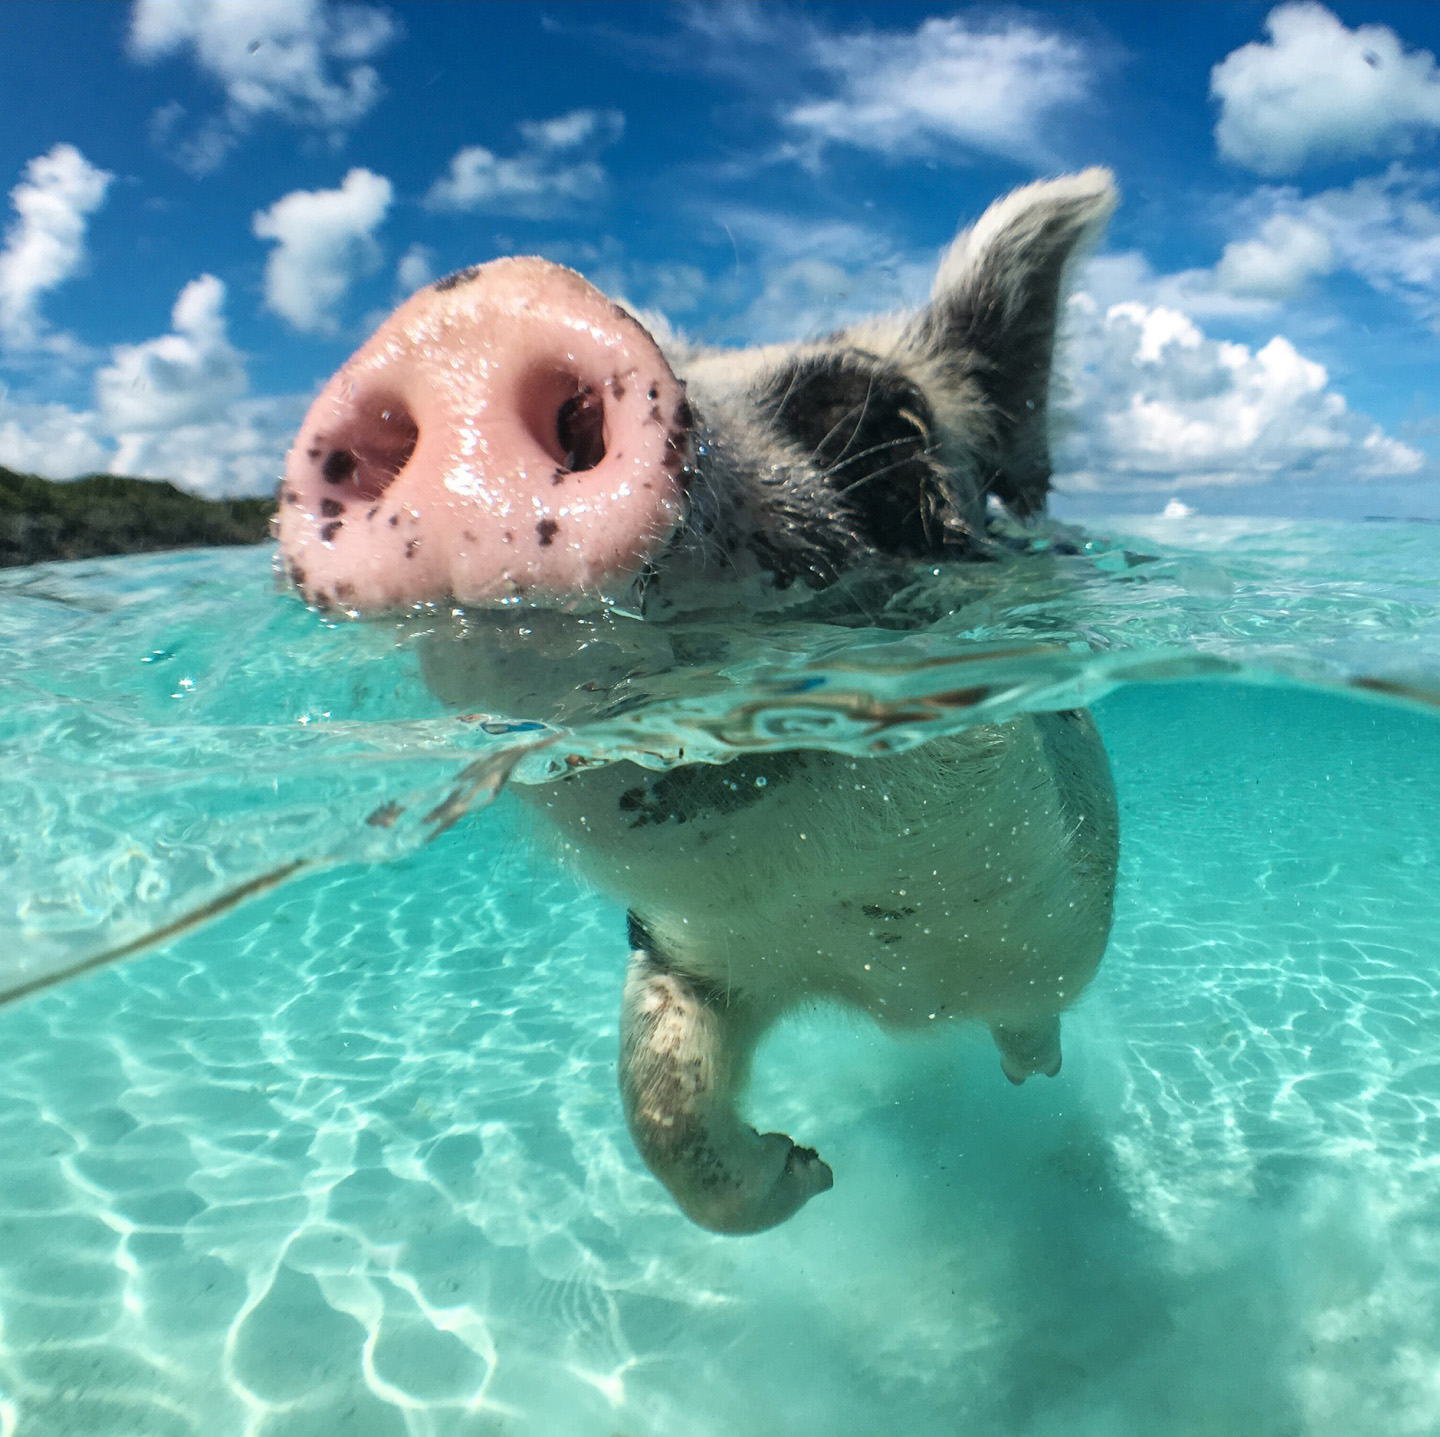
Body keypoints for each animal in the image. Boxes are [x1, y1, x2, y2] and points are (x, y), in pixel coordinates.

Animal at [275, 171, 1117, 1238]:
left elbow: (1034, 1014)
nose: (473, 313)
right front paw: (811, 1168)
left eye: (886, 425)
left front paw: (961, 1103)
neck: (879, 969)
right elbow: (661, 1106)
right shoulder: (681, 952)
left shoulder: (1055, 925)